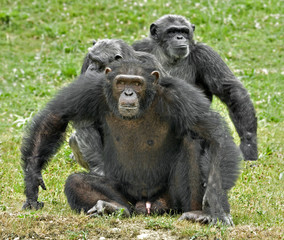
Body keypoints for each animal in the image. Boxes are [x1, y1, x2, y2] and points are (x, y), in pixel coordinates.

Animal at [21, 57, 241, 225]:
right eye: (121, 82)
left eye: (136, 83)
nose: (128, 92)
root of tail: (147, 206)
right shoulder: (90, 89)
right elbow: (56, 116)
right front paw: (32, 183)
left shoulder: (182, 96)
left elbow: (215, 135)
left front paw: (216, 205)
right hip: (127, 197)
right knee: (77, 182)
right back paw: (114, 208)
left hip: (171, 199)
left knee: (193, 143)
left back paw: (197, 214)